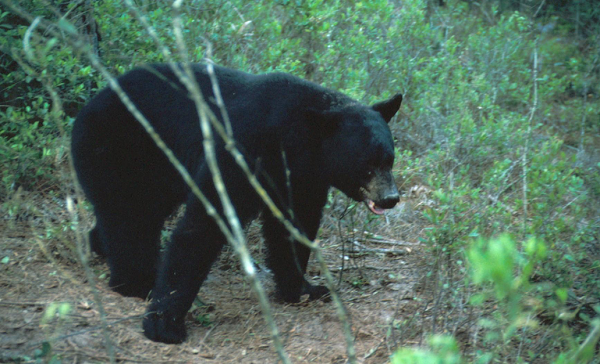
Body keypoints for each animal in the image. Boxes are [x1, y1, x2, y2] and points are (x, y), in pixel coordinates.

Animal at [71, 63, 404, 344]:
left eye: (389, 159)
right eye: (367, 166)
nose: (390, 198)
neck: (292, 140)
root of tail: (88, 104)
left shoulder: (300, 179)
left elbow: (293, 227)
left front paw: (305, 289)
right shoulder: (242, 150)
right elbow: (204, 224)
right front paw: (165, 323)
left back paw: (102, 247)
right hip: (120, 147)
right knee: (128, 215)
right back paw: (137, 282)